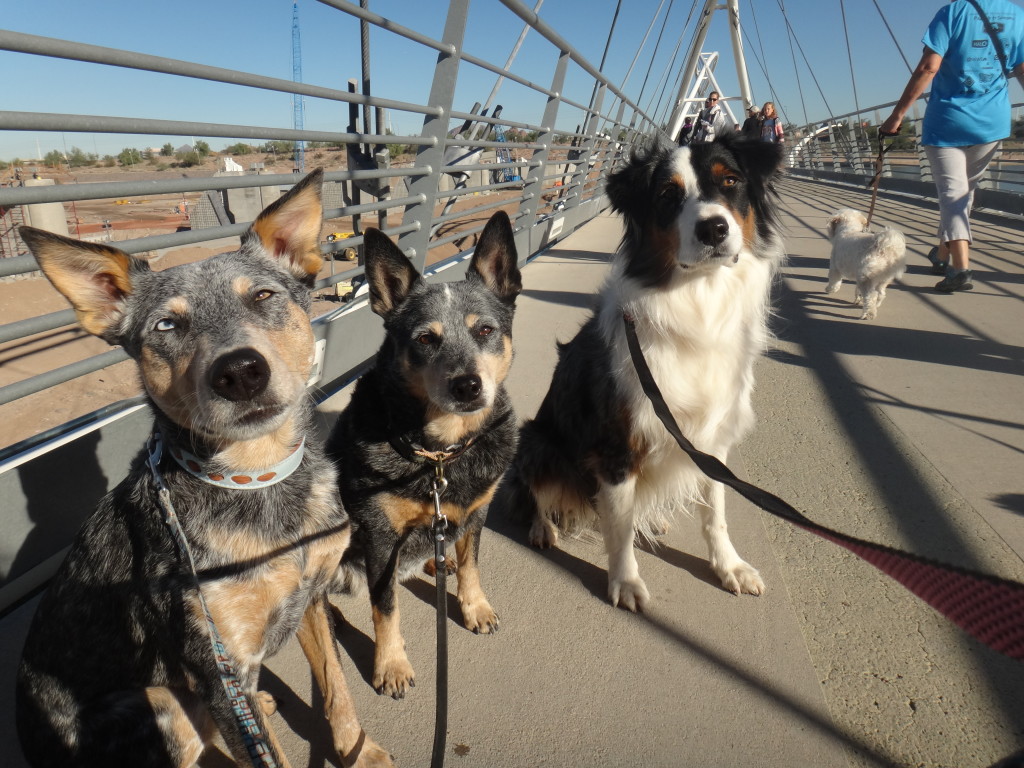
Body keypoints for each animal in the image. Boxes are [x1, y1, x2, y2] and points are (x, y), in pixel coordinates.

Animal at [16, 171, 391, 768]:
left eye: (263, 296)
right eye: (167, 324)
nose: (239, 371)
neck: (256, 481)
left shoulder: (311, 597)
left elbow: (337, 689)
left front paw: (361, 752)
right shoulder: (217, 667)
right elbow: (265, 750)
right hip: (163, 702)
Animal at [325, 214, 520, 700]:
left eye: (485, 330)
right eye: (425, 339)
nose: (467, 385)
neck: (439, 454)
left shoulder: (477, 509)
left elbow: (471, 564)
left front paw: (475, 607)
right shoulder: (379, 536)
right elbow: (385, 606)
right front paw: (391, 665)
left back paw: (438, 558)